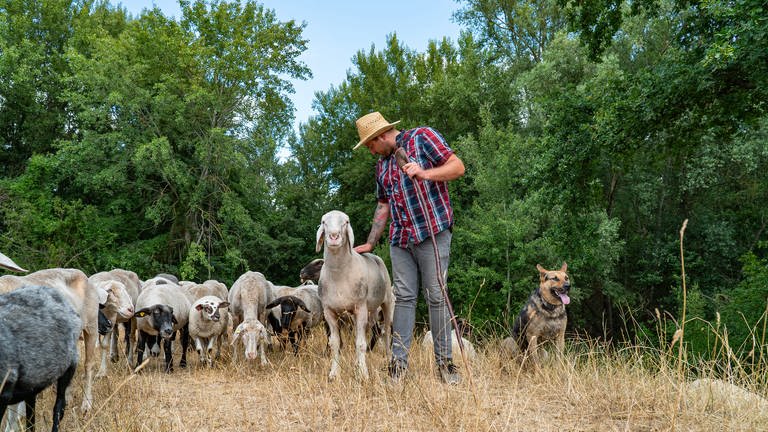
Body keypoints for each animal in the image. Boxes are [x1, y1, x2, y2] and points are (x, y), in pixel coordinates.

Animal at [316, 211, 392, 380]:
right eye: (324, 222)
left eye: (346, 222)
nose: (334, 236)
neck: (339, 273)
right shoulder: (329, 312)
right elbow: (335, 343)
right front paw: (333, 373)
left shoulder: (360, 308)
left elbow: (361, 344)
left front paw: (363, 374)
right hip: (366, 312)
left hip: (387, 303)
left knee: (387, 333)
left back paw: (389, 357)